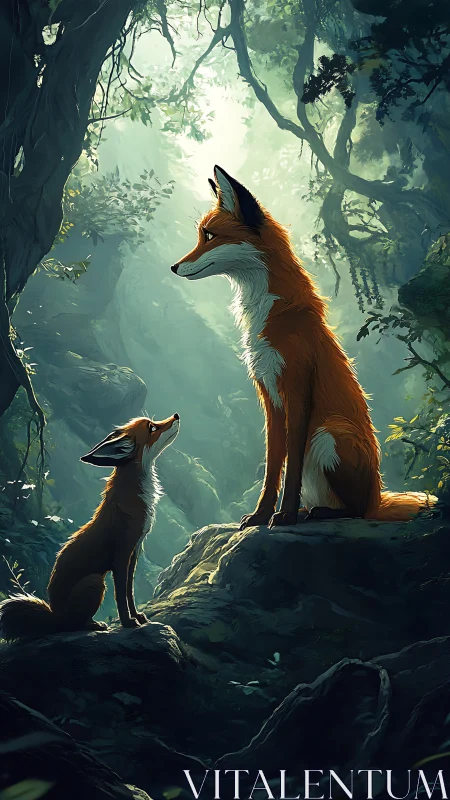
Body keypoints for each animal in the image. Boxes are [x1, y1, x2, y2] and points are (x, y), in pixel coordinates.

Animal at [0, 414, 179, 640]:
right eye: (152, 427)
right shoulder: (121, 555)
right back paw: (95, 625)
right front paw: (128, 623)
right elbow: (121, 595)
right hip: (95, 582)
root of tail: (54, 615)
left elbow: (129, 592)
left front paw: (138, 617)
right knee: (73, 625)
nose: (176, 416)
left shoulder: (135, 552)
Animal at [171, 165, 437, 529]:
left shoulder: (297, 389)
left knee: (355, 511)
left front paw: (282, 516)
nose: (173, 267)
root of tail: (377, 496)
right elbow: (273, 466)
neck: (268, 314)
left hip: (329, 434)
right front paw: (261, 515)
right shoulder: (269, 396)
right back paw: (307, 511)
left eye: (209, 236)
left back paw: (317, 513)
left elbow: (291, 465)